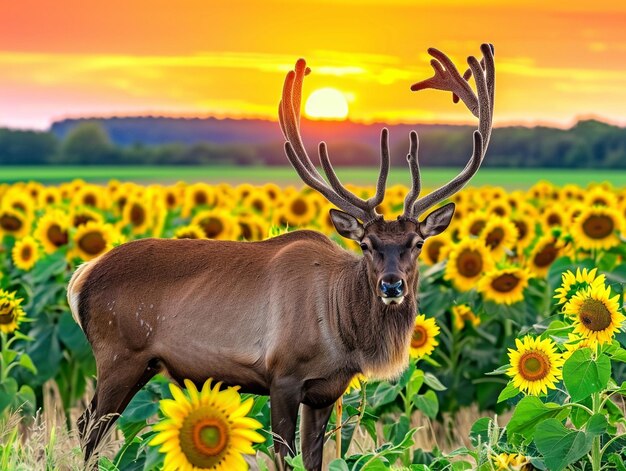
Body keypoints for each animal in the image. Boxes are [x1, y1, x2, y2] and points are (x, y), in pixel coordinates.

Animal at [68, 43, 494, 468]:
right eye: (367, 244)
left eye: (417, 243)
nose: (392, 285)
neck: (342, 329)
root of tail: (81, 276)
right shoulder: (283, 375)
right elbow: (284, 456)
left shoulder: (325, 389)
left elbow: (312, 458)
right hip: (118, 353)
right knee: (89, 429)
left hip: (139, 362)